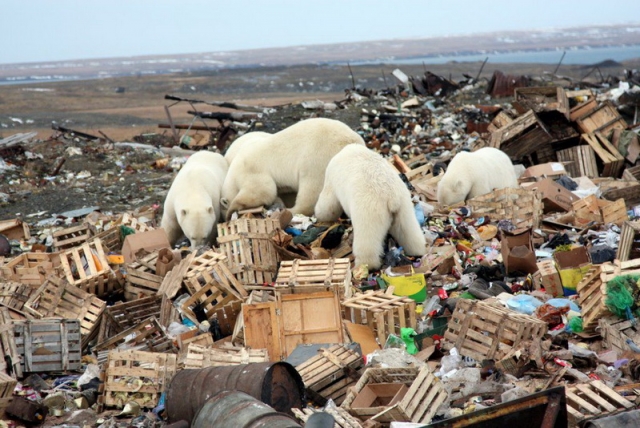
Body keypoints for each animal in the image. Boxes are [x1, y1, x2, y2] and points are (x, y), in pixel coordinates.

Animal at [221, 117, 364, 219]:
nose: (223, 219)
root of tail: (354, 141)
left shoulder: (251, 169)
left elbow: (263, 190)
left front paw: (231, 210)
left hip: (317, 157)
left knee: (310, 189)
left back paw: (291, 211)